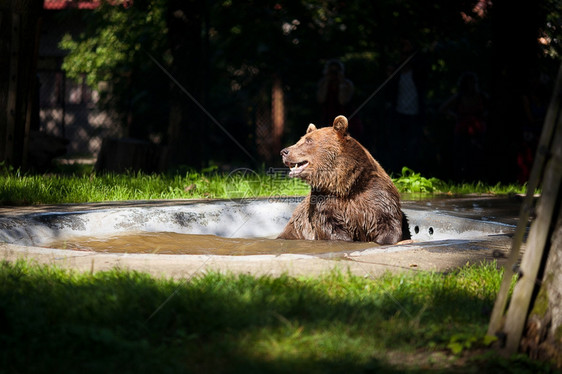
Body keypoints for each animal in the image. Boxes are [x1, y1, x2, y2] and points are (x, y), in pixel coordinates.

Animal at [276, 115, 404, 244]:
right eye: (300, 140)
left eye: (308, 140)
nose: (284, 151)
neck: (345, 185)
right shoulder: (324, 202)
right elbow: (330, 227)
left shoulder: (376, 194)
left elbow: (388, 222)